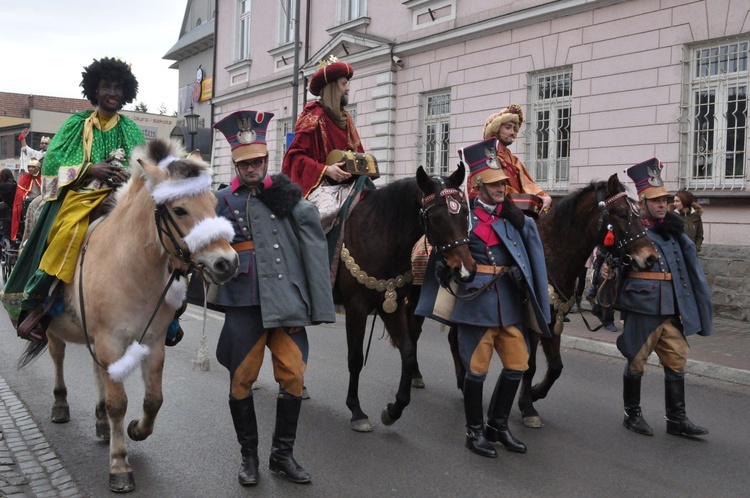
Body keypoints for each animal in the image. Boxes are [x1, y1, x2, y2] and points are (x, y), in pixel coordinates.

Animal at [17, 140, 239, 494]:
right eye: (179, 210)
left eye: (213, 202)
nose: (226, 263)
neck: (131, 267)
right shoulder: (110, 340)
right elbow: (118, 403)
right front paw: (119, 464)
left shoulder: (152, 341)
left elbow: (153, 399)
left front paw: (136, 429)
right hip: (54, 331)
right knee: (59, 359)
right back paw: (60, 405)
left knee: (99, 374)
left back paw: (100, 421)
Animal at [340, 164, 476, 432]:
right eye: (435, 217)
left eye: (465, 212)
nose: (465, 271)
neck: (377, 234)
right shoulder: (356, 308)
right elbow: (355, 358)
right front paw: (357, 411)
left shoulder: (390, 305)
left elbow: (408, 351)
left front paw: (394, 409)